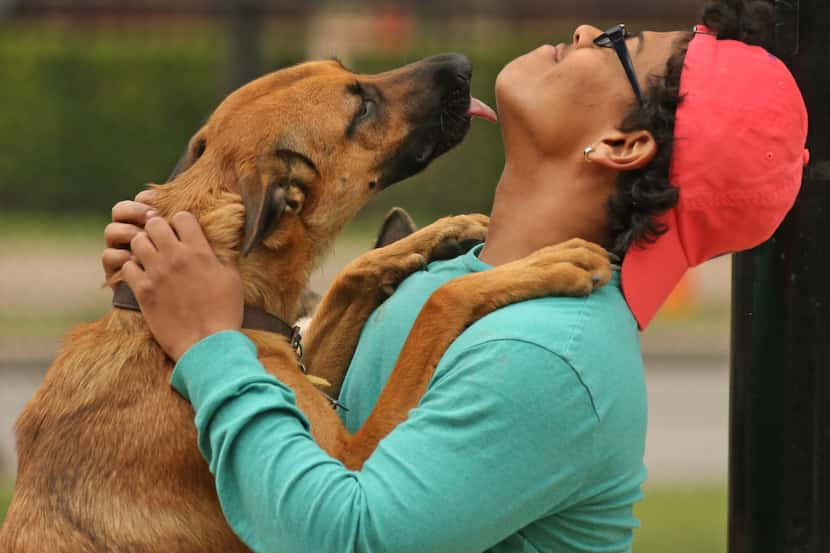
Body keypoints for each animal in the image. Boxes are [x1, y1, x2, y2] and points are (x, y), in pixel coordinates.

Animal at [0, 52, 612, 552]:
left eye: (353, 75)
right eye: (361, 106)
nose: (462, 64)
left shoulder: (308, 366)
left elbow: (353, 276)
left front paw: (445, 232)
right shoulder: (353, 461)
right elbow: (440, 299)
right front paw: (549, 261)